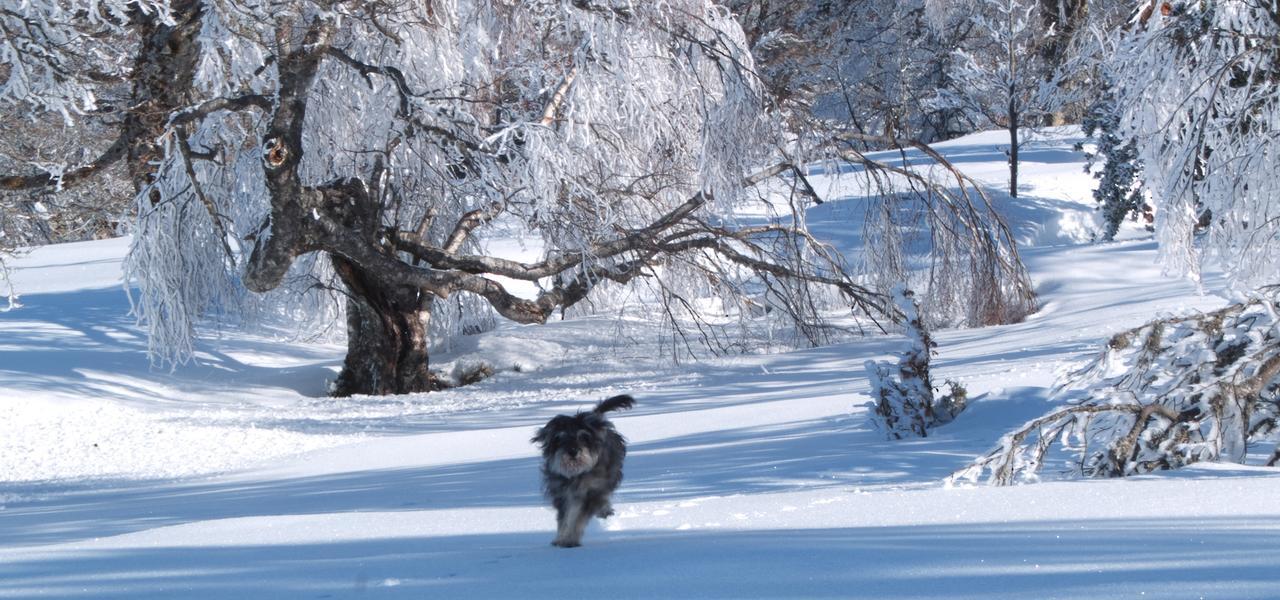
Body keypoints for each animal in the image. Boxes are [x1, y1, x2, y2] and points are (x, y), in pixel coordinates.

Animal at [532, 394, 632, 544]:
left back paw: (605, 511)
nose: (573, 451)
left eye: (584, 437)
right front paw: (561, 538)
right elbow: (565, 519)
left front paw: (570, 540)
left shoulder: (591, 493)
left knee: (604, 497)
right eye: (560, 437)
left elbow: (578, 518)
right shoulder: (563, 494)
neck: (576, 474)